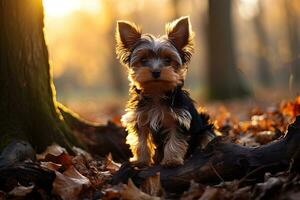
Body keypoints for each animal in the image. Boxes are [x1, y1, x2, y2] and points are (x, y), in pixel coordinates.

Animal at [115, 16, 216, 167]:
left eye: (168, 60)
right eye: (143, 60)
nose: (156, 72)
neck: (157, 93)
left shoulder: (179, 119)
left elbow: (175, 139)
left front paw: (171, 160)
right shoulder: (141, 118)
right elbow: (141, 140)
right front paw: (141, 160)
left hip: (205, 126)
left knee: (206, 136)